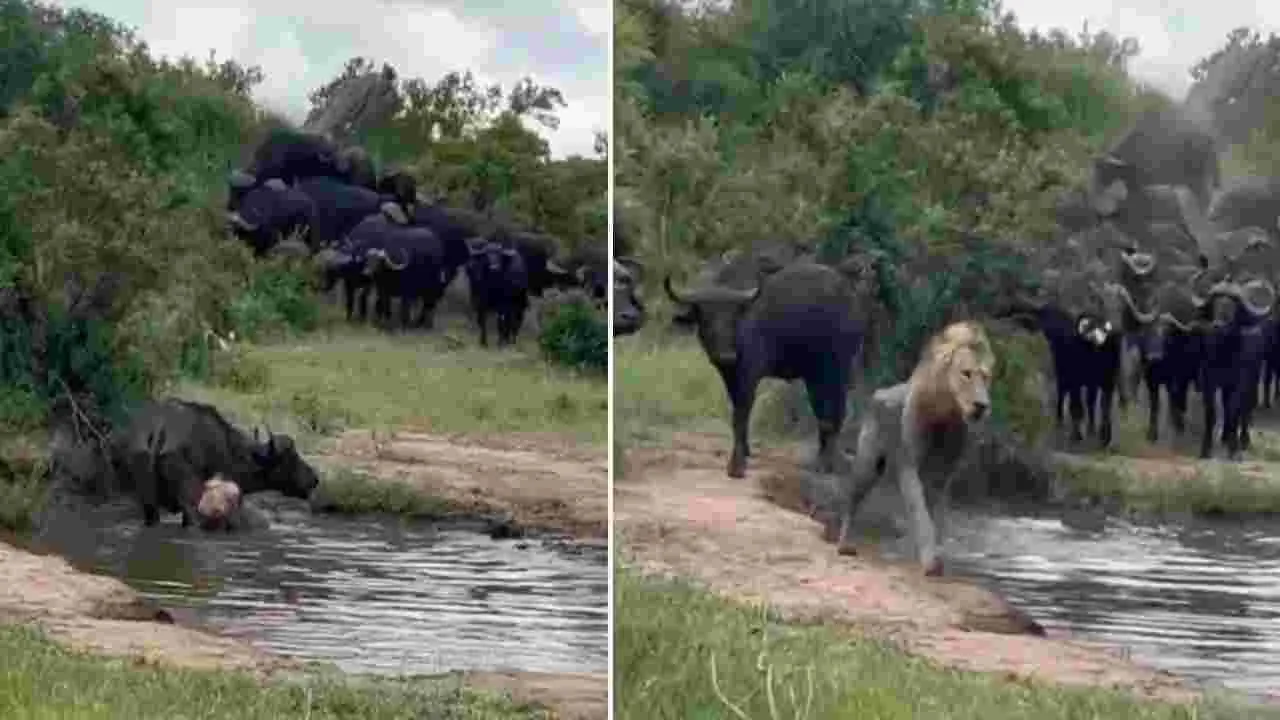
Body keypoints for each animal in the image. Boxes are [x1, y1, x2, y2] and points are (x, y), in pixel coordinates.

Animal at [110, 398, 319, 527]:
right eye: (292, 457)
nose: (315, 478)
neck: (230, 450)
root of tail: (159, 430)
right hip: (191, 504)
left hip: (147, 501)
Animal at [665, 261, 863, 479]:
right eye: (706, 317)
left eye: (733, 318)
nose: (726, 356)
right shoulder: (730, 377)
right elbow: (738, 412)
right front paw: (745, 451)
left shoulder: (748, 375)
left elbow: (740, 414)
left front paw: (737, 465)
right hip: (815, 374)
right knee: (823, 411)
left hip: (837, 368)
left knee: (835, 411)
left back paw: (826, 463)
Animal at [834, 320, 996, 576]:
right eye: (966, 373)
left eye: (986, 377)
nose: (982, 405)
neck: (945, 413)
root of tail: (878, 393)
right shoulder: (909, 464)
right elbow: (919, 512)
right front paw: (929, 561)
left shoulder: (943, 474)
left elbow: (934, 517)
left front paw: (932, 554)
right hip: (868, 464)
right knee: (851, 501)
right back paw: (844, 545)